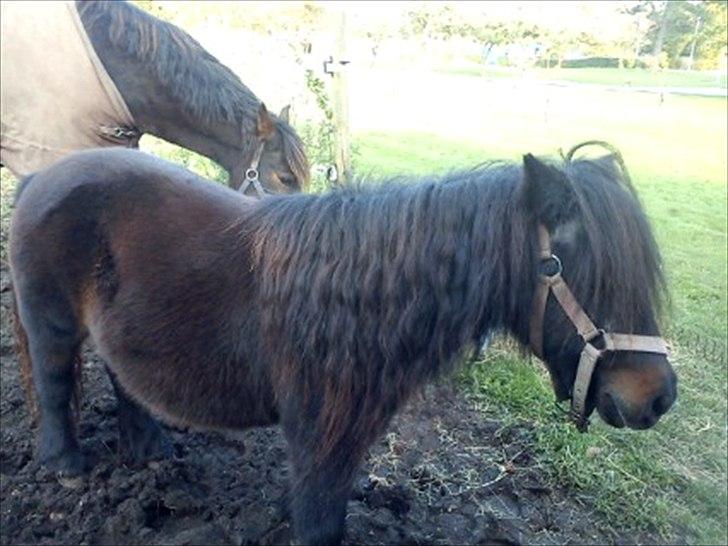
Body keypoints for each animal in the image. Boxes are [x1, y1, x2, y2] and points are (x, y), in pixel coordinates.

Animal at [9, 144, 676, 544]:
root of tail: (43, 175)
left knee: (123, 376)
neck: (366, 293)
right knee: (54, 380)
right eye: (572, 270)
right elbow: (320, 522)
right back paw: (64, 466)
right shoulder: (318, 437)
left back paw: (147, 449)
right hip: (52, 326)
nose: (658, 397)